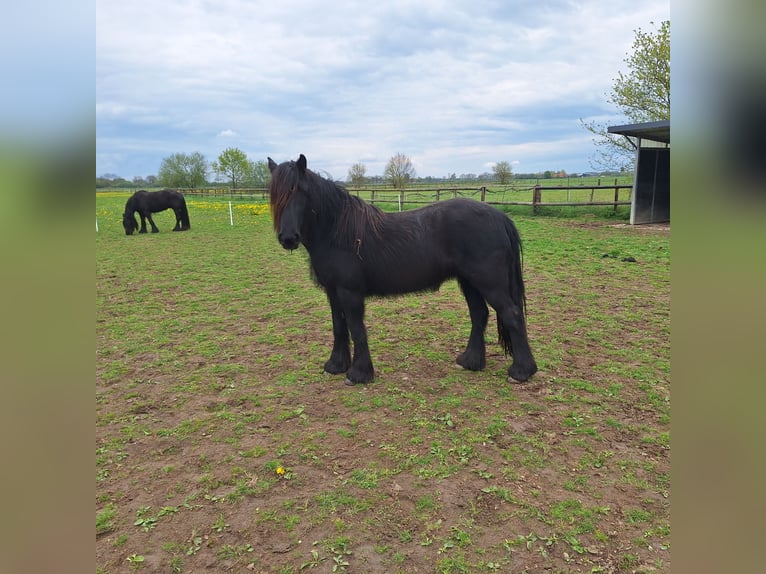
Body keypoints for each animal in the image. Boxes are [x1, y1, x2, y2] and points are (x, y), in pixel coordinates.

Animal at [267, 154, 538, 386]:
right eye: (274, 195)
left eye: (299, 191)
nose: (288, 238)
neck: (338, 232)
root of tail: (500, 217)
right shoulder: (333, 292)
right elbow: (339, 327)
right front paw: (336, 365)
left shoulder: (350, 292)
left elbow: (356, 329)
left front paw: (359, 373)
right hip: (469, 282)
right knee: (479, 315)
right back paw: (470, 361)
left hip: (489, 282)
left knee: (512, 315)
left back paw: (521, 372)